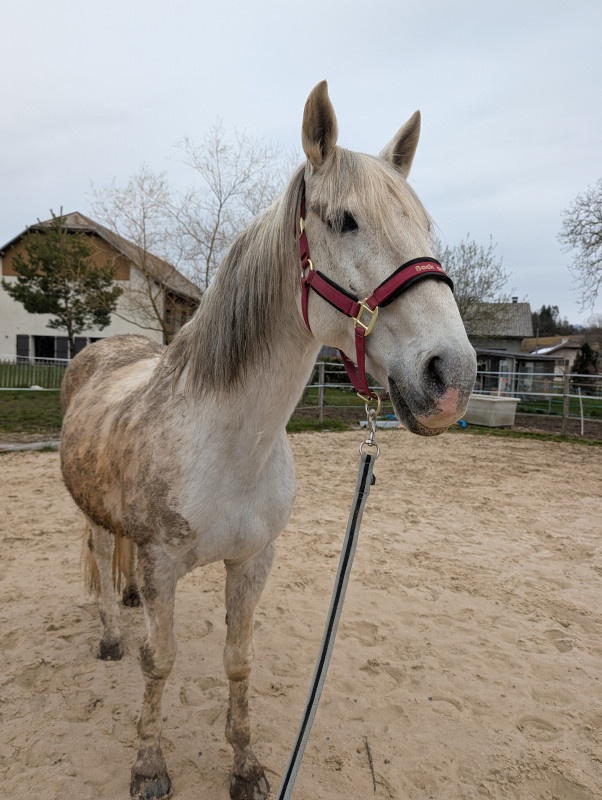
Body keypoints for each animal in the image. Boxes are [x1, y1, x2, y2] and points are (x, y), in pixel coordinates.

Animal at [60, 80, 477, 800]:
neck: (227, 445)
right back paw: (112, 634)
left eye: (427, 228)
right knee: (102, 551)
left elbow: (237, 661)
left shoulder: (253, 561)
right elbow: (158, 661)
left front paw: (247, 765)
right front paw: (149, 765)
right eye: (344, 221)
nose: (450, 376)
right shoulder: (164, 564)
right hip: (93, 516)